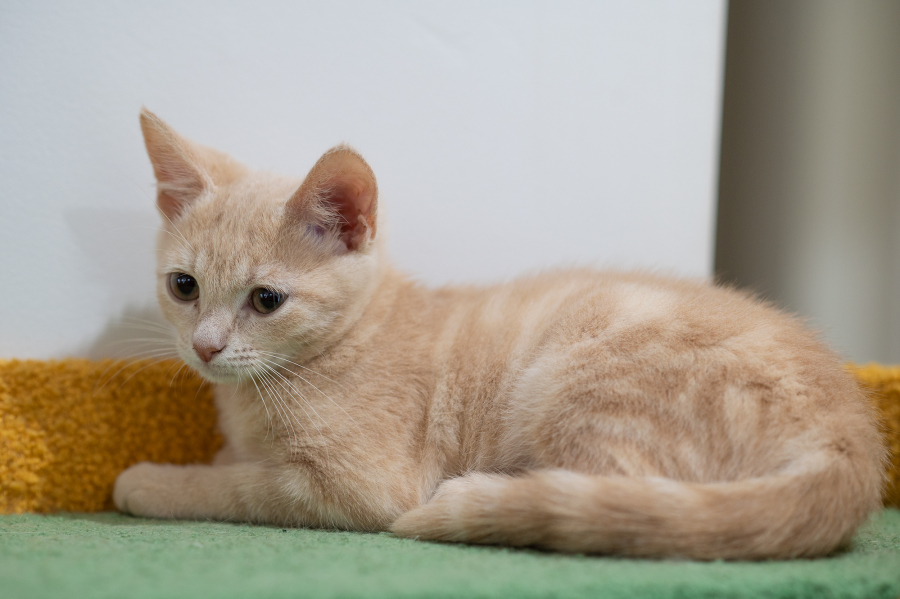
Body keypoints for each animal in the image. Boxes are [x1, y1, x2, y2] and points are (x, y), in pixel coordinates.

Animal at [113, 108, 885, 560]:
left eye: (266, 299)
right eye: (184, 287)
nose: (205, 347)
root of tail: (853, 432)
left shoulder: (360, 485)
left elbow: (243, 487)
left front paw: (154, 480)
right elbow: (238, 463)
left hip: (573, 385)